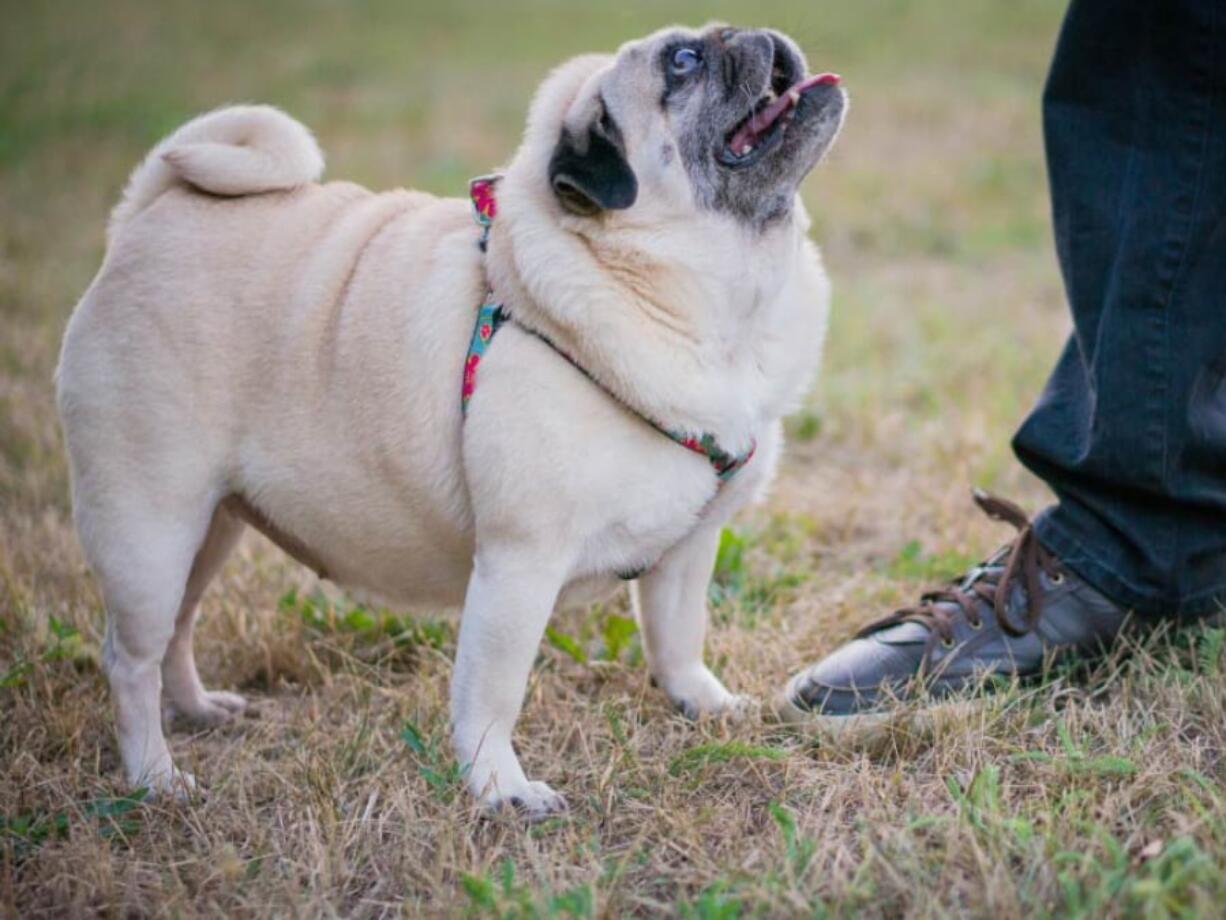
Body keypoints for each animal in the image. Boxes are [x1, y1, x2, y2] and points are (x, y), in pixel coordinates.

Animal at [57, 23, 843, 814]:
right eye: (683, 63)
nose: (754, 35)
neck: (708, 306)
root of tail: (150, 213)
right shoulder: (519, 563)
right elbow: (493, 694)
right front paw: (501, 788)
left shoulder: (689, 547)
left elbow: (677, 639)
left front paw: (703, 704)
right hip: (151, 525)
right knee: (131, 656)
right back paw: (154, 774)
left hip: (210, 525)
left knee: (178, 630)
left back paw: (196, 710)